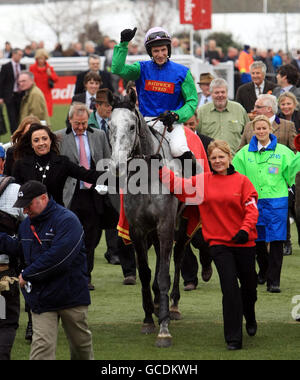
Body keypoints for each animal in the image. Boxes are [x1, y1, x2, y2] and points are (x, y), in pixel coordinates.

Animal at [108, 91, 192, 348]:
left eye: (132, 126)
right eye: (109, 125)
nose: (117, 166)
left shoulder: (165, 225)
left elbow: (164, 274)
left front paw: (164, 330)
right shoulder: (138, 229)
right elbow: (145, 272)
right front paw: (148, 319)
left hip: (183, 223)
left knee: (178, 256)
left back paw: (172, 306)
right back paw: (157, 305)